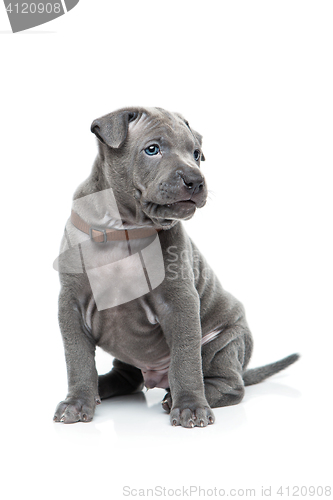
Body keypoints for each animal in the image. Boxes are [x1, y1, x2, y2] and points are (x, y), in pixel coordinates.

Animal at [53, 107, 296, 428]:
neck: (125, 229)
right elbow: (78, 358)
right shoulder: (71, 303)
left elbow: (185, 358)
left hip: (224, 342)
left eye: (196, 154)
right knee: (126, 377)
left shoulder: (179, 302)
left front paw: (191, 407)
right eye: (152, 149)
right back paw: (99, 387)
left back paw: (182, 397)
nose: (196, 180)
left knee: (229, 384)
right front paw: (77, 401)